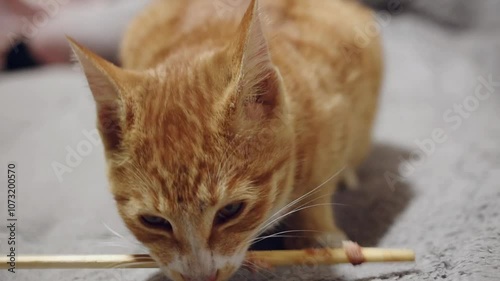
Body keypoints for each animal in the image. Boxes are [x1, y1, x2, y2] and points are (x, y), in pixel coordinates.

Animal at [69, 0, 382, 278]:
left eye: (231, 210)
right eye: (154, 221)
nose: (201, 276)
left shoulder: (331, 116)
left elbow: (320, 185)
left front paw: (316, 233)